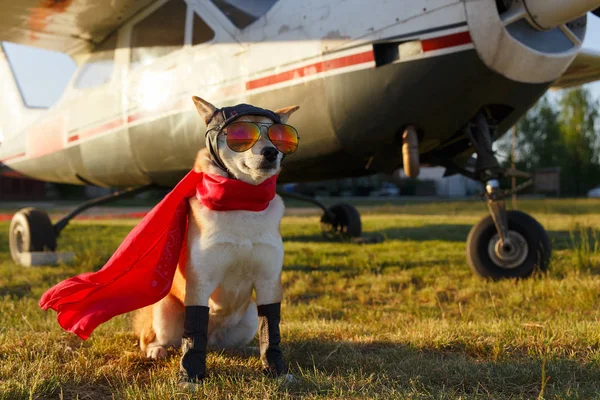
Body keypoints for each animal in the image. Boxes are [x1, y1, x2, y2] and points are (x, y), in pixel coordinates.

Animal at [134, 95, 298, 382]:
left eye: (278, 137)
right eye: (241, 134)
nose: (271, 152)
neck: (242, 202)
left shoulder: (268, 281)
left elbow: (271, 330)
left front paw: (276, 370)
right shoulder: (201, 281)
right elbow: (193, 333)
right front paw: (190, 375)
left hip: (247, 317)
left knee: (226, 344)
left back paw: (246, 349)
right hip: (163, 311)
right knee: (157, 339)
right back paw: (156, 350)